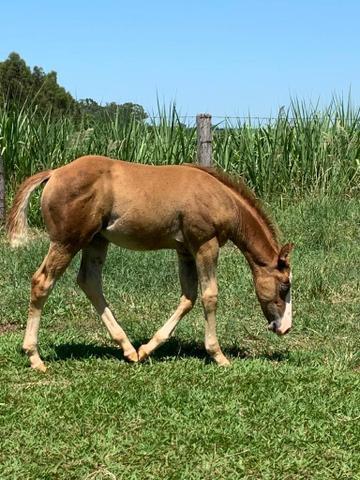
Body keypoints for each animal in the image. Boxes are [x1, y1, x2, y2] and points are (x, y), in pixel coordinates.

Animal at [7, 155, 292, 372]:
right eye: (284, 287)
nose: (285, 328)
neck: (220, 197)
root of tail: (54, 173)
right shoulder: (205, 244)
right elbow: (209, 296)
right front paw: (218, 355)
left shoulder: (185, 250)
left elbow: (188, 297)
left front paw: (146, 350)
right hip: (67, 241)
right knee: (42, 282)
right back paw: (35, 357)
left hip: (96, 240)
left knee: (89, 281)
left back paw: (128, 349)